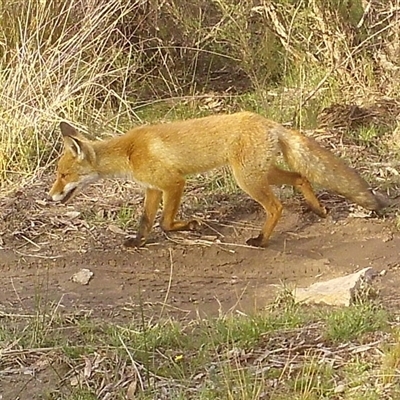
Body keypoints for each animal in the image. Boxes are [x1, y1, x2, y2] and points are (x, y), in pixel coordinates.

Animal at [48, 111, 386, 247]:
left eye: (64, 175)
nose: (50, 197)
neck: (129, 152)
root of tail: (268, 122)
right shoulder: (153, 189)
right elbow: (146, 222)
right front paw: (137, 242)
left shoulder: (173, 183)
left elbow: (165, 223)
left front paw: (190, 225)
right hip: (261, 172)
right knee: (301, 176)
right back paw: (317, 209)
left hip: (247, 179)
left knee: (275, 207)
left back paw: (262, 241)